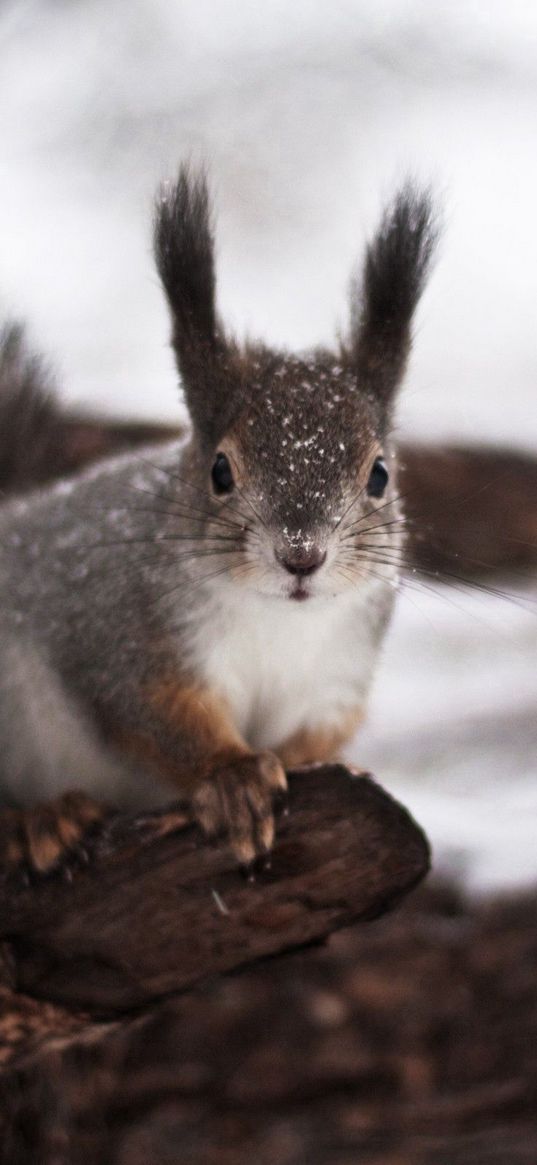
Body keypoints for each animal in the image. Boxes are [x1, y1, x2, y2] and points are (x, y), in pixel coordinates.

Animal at [0, 164, 435, 876]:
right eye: (220, 471)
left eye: (379, 475)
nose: (301, 555)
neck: (278, 623)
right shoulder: (123, 634)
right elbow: (157, 716)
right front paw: (233, 778)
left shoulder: (338, 679)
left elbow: (317, 738)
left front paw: (318, 766)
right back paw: (39, 818)